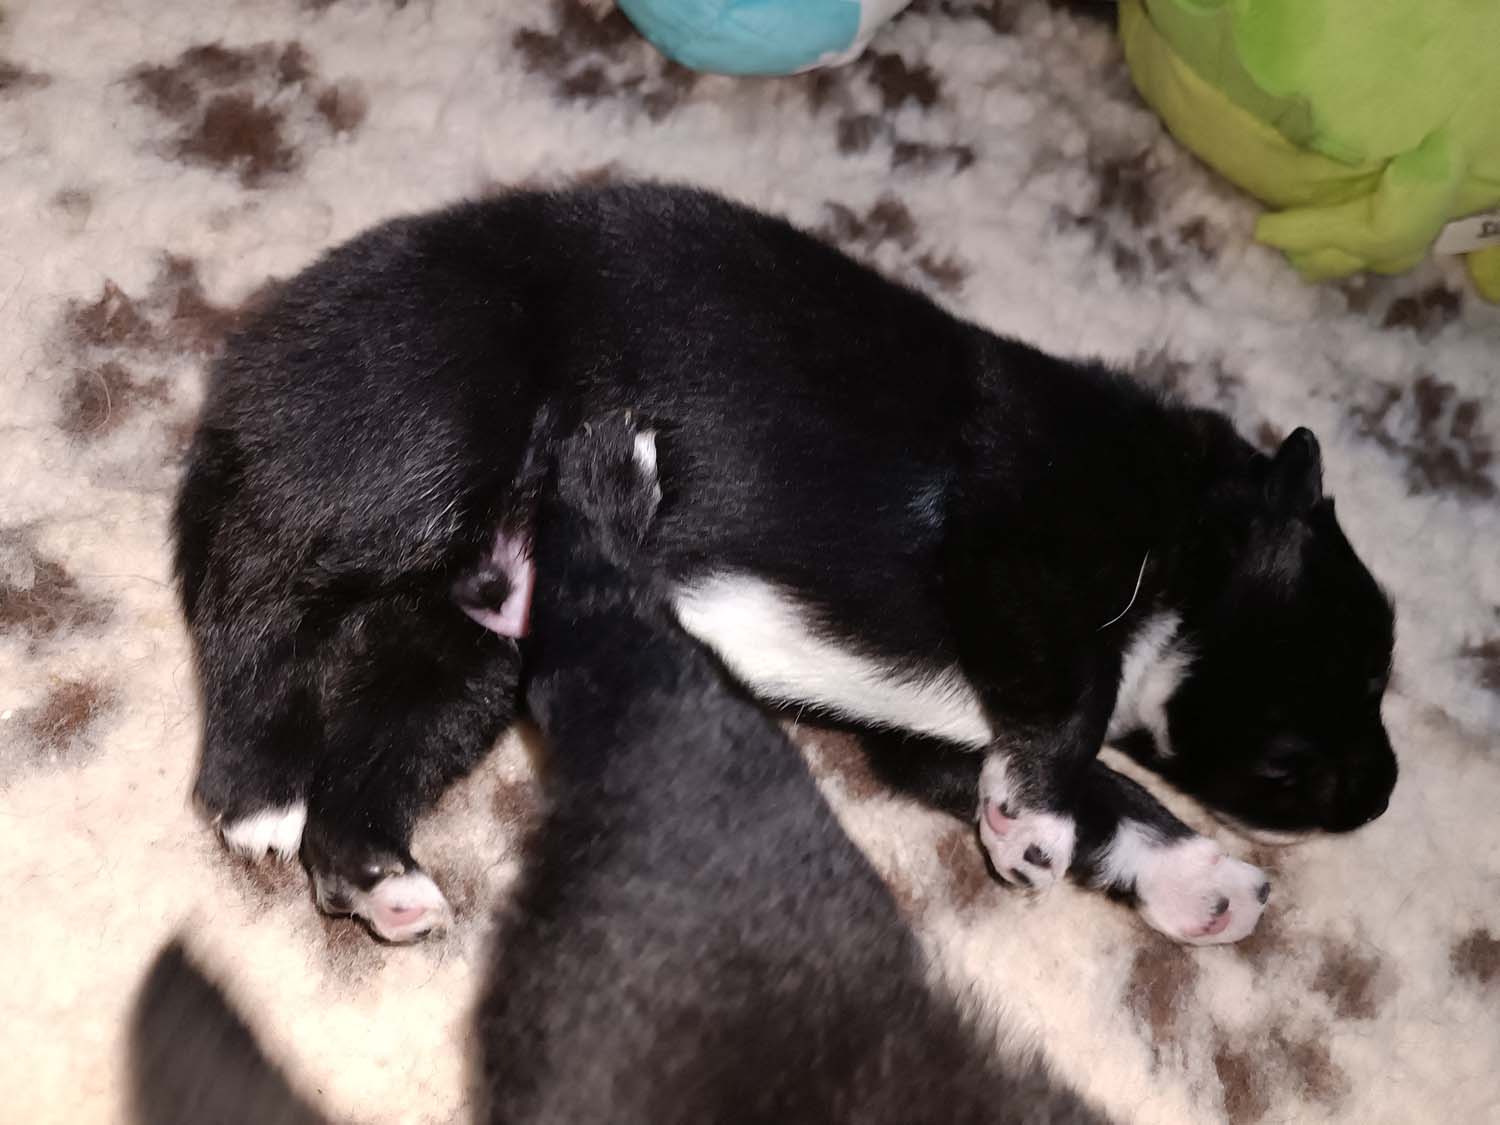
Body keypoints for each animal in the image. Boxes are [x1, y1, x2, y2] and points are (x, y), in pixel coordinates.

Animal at [174, 182, 1396, 944]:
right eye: (1367, 659)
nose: (1385, 793)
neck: (1186, 525)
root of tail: (249, 375)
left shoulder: (938, 737)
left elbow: (1105, 784)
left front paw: (1197, 879)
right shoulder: (1019, 543)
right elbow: (1079, 710)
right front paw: (1038, 827)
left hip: (469, 645)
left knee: (379, 752)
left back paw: (378, 878)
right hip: (432, 427)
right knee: (260, 597)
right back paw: (258, 783)